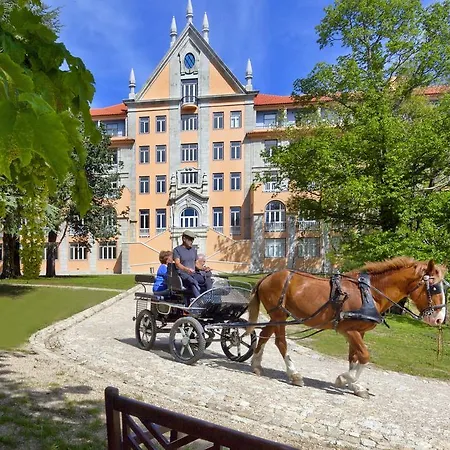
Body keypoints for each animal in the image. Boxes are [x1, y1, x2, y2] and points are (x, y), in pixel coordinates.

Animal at [246, 257, 447, 398]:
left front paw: (355, 385)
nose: (439, 319)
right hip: (279, 315)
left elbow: (354, 357)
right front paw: (345, 379)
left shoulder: (359, 332)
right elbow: (364, 356)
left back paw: (256, 365)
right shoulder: (349, 330)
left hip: (277, 317)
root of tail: (267, 276)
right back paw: (294, 374)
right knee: (281, 342)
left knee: (264, 335)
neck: (370, 293)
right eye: (434, 288)